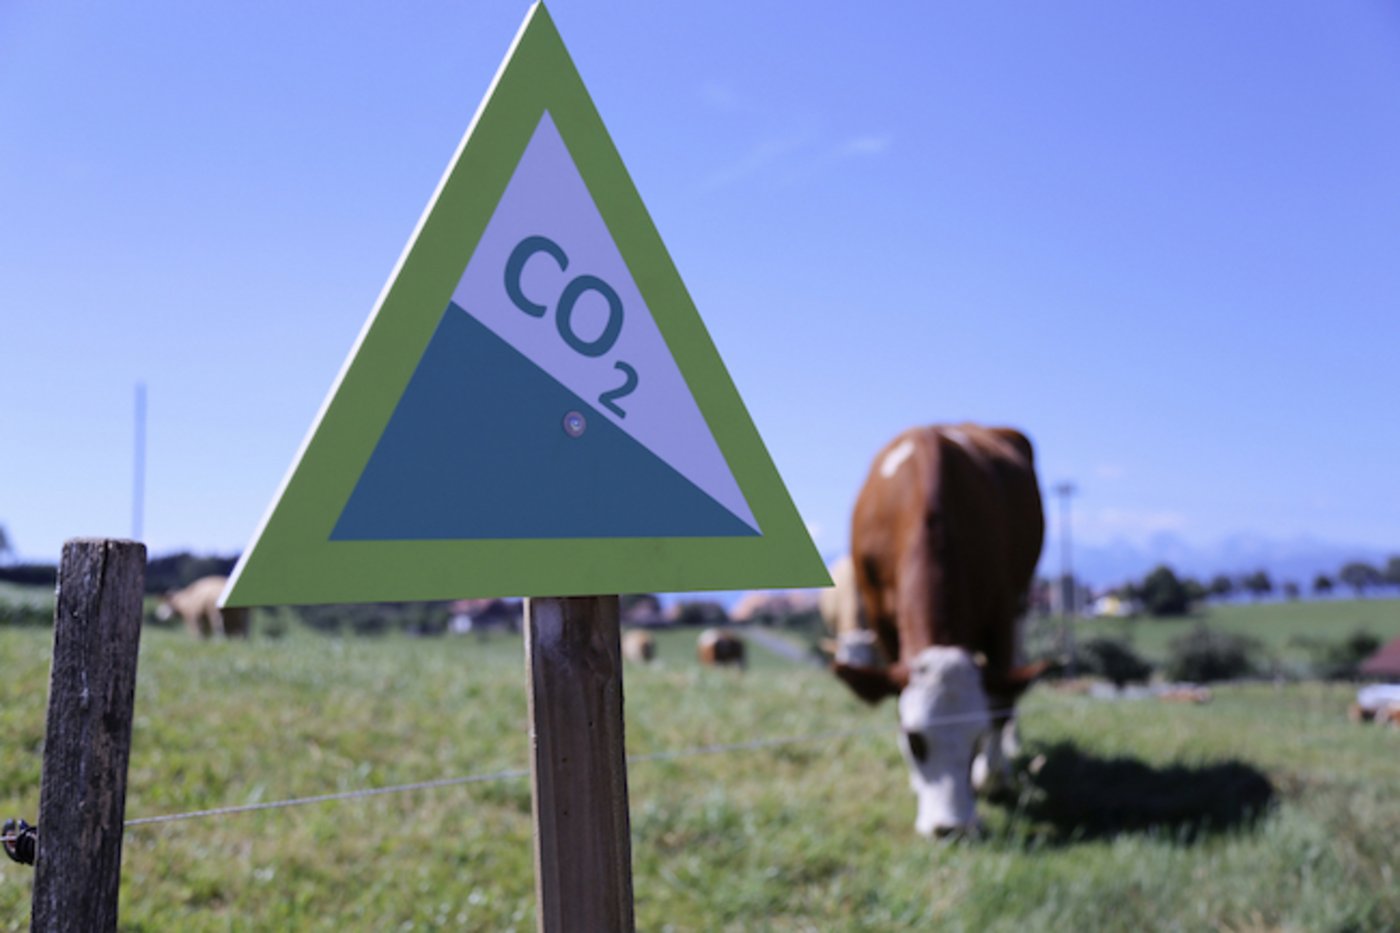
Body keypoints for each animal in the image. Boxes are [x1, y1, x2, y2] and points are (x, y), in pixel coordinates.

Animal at [832, 423, 1046, 837]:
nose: (952, 828)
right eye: (914, 740)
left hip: (1023, 599)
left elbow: (1000, 700)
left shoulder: (1001, 607)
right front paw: (917, 781)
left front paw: (990, 775)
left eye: (975, 736)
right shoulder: (881, 619)